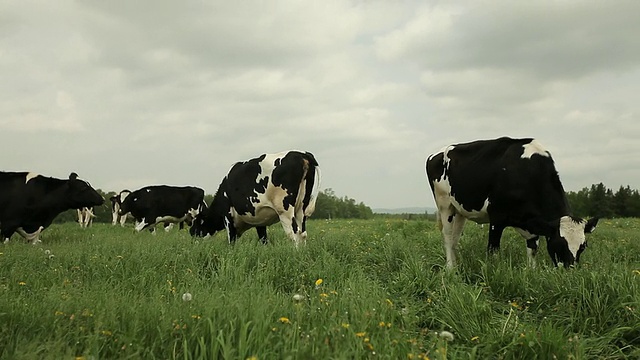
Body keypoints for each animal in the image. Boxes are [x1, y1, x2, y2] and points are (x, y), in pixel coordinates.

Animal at [189, 150, 320, 248]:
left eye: (196, 224)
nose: (191, 233)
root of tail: (302, 154)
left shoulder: (227, 216)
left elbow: (231, 241)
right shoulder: (260, 220)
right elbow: (264, 240)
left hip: (285, 210)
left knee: (294, 234)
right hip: (301, 209)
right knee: (303, 233)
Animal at [424, 136, 600, 268]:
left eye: (583, 247)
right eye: (560, 243)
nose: (571, 271)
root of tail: (434, 154)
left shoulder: (532, 222)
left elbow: (533, 250)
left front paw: (531, 272)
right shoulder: (496, 217)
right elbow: (493, 249)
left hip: (460, 210)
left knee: (455, 238)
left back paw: (456, 265)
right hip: (444, 205)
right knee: (447, 236)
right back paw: (450, 268)